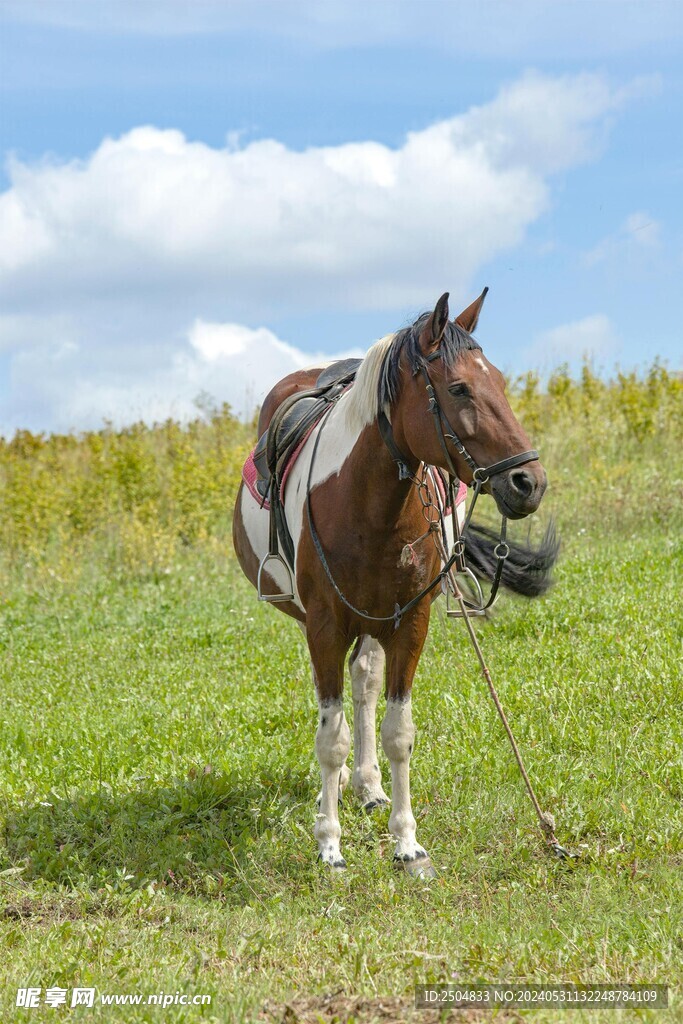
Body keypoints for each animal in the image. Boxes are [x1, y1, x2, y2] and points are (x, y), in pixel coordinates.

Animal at [233, 290, 558, 877]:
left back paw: (367, 787)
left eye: (500, 381)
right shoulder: (323, 625)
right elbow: (329, 736)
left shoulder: (410, 623)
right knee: (338, 708)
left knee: (363, 683)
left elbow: (397, 732)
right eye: (458, 388)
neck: (363, 500)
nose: (529, 482)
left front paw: (407, 843)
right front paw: (330, 845)